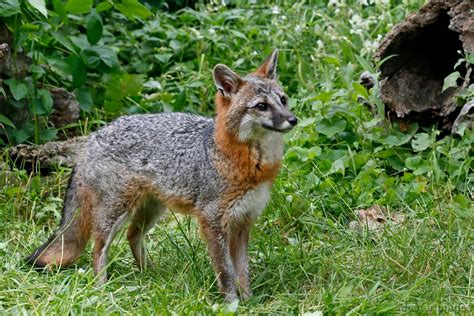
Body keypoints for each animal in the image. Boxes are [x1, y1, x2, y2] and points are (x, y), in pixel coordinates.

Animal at [25, 48, 296, 302]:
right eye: (261, 106)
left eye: (283, 100)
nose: (293, 120)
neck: (251, 164)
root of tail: (94, 135)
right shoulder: (212, 222)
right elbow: (226, 272)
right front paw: (232, 304)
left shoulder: (243, 223)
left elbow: (243, 272)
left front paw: (249, 301)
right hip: (116, 212)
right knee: (98, 247)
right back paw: (101, 289)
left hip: (152, 209)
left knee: (133, 236)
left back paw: (149, 273)